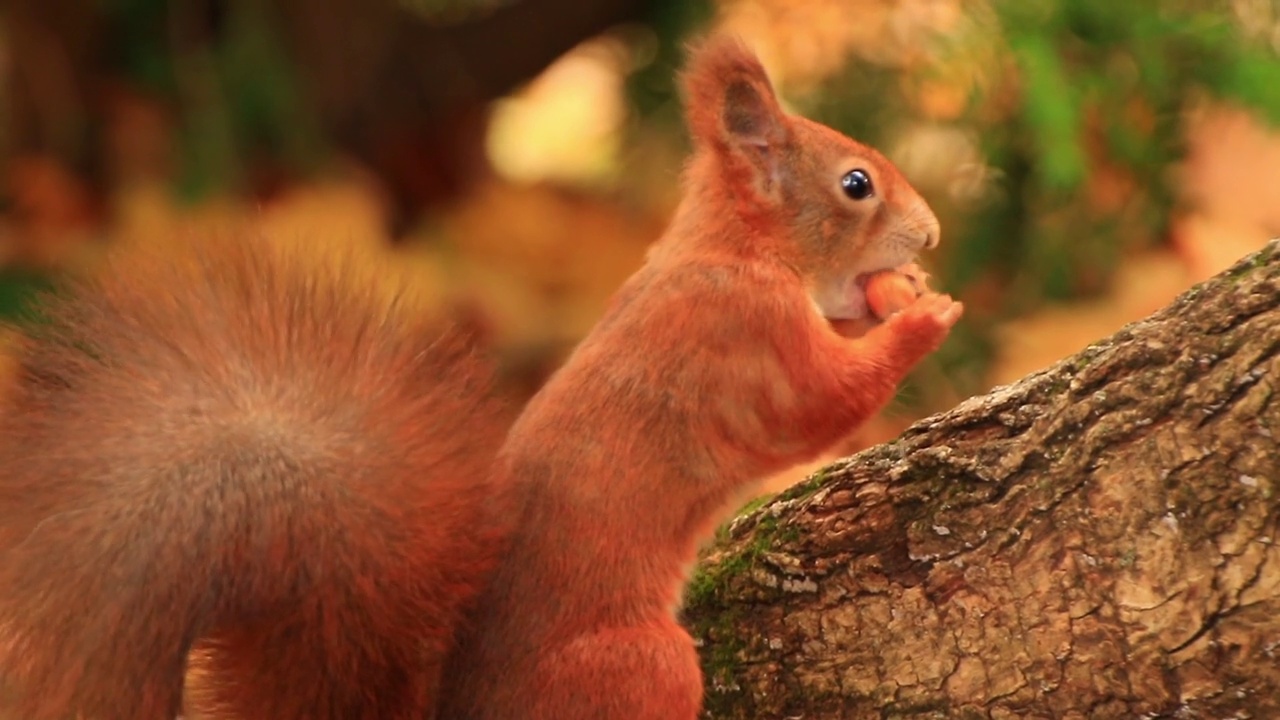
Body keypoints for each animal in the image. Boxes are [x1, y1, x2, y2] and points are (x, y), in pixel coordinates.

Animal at [0, 35, 962, 717]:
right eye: (856, 184)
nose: (934, 235)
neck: (727, 248)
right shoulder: (746, 336)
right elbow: (818, 407)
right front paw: (923, 317)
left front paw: (900, 299)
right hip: (638, 665)